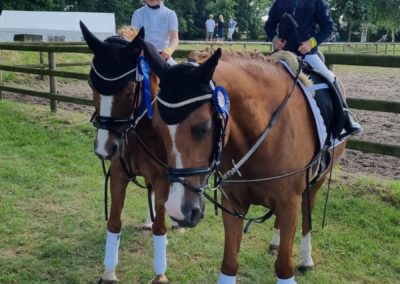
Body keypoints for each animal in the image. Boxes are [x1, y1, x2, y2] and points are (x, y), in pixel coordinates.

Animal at [79, 23, 170, 284]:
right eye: (91, 84)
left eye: (129, 89)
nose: (104, 148)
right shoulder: (119, 174)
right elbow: (114, 222)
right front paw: (109, 272)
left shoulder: (164, 178)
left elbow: (161, 227)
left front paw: (160, 275)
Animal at [142, 41, 348, 282]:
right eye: (157, 127)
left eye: (202, 128)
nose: (177, 210)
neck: (264, 134)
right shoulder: (233, 204)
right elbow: (229, 265)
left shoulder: (290, 204)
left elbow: (283, 268)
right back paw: (276, 242)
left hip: (315, 183)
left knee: (307, 215)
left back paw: (306, 259)